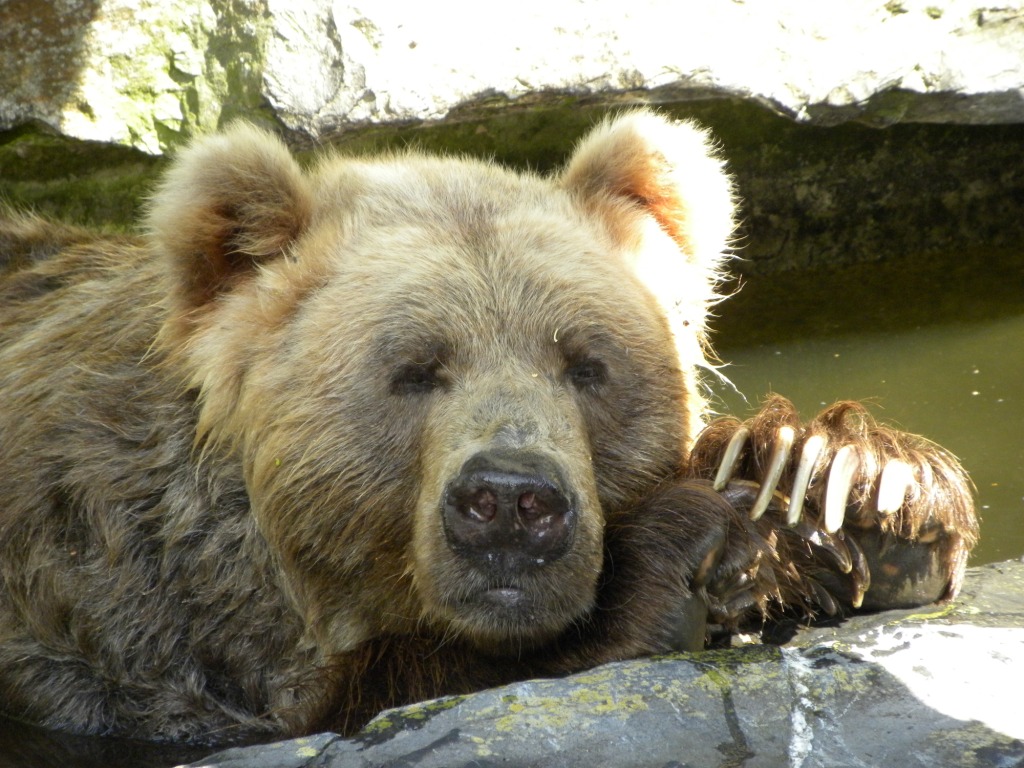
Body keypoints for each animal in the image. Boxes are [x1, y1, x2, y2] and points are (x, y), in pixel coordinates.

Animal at [0, 112, 978, 745]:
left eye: (586, 363)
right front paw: (672, 556)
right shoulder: (122, 638)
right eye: (413, 368)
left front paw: (845, 484)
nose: (511, 502)